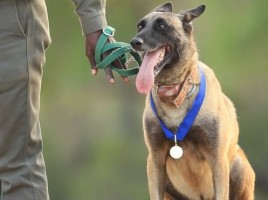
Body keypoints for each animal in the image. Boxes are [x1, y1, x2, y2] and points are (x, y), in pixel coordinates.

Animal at [131, 2, 254, 199]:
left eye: (162, 26)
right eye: (140, 26)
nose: (134, 42)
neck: (175, 93)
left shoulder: (217, 159)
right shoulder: (155, 159)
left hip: (238, 166)